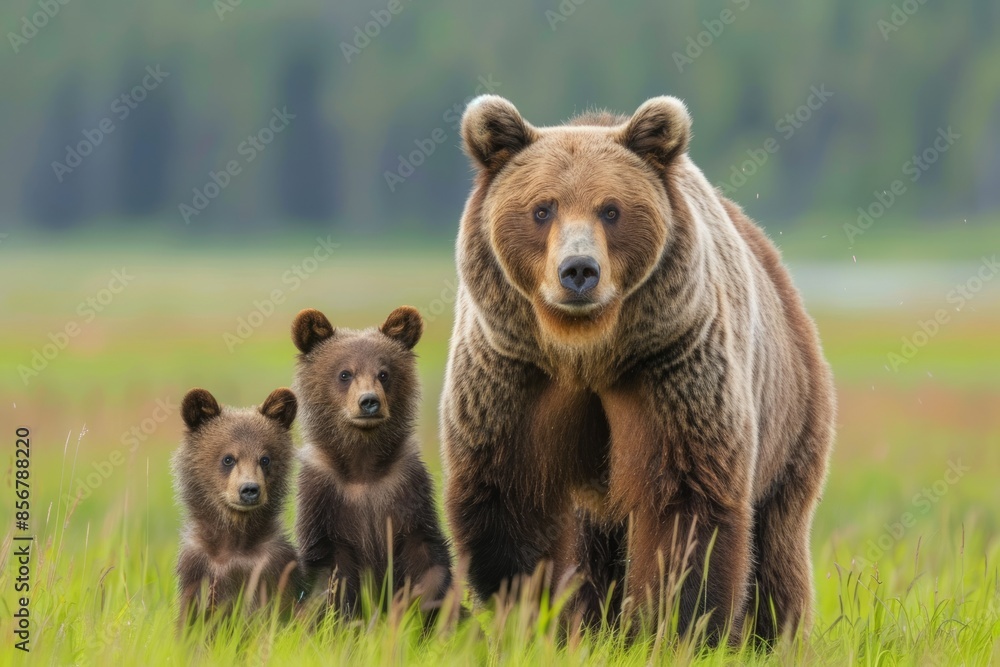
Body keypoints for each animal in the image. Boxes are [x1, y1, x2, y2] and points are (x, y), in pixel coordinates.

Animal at [173, 387, 305, 628]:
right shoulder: (198, 567)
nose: (250, 489)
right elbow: (192, 620)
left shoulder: (273, 566)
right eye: (228, 458)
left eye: (265, 459)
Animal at [291, 306, 453, 619]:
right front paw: (345, 619)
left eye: (384, 373)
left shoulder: (406, 488)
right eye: (345, 373)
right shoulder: (324, 498)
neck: (363, 468)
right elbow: (331, 573)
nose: (369, 402)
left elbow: (426, 559)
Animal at [439, 95, 836, 644]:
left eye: (611, 210)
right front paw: (534, 616)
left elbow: (684, 504)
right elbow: (512, 498)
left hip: (792, 420)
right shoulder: (513, 374)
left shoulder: (671, 367)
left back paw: (771, 635)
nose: (578, 271)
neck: (584, 351)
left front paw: (673, 625)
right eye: (542, 208)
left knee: (777, 548)